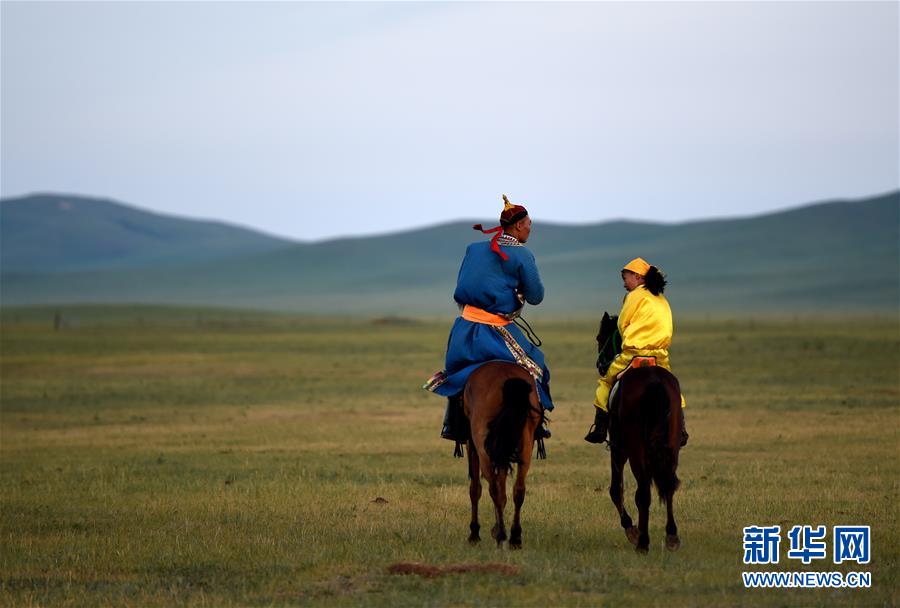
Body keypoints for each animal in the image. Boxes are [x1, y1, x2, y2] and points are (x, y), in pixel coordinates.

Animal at [464, 364, 540, 548]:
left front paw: (474, 533)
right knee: (519, 489)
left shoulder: (472, 444)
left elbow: (475, 488)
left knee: (493, 489)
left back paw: (500, 534)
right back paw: (515, 537)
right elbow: (504, 486)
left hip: (483, 446)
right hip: (526, 443)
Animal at [596, 312, 684, 552]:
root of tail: (654, 383)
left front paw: (631, 529)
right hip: (671, 446)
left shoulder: (618, 449)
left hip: (635, 450)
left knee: (643, 492)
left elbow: (615, 489)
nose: (600, 365)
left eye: (599, 337)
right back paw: (671, 535)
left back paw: (643, 541)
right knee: (669, 484)